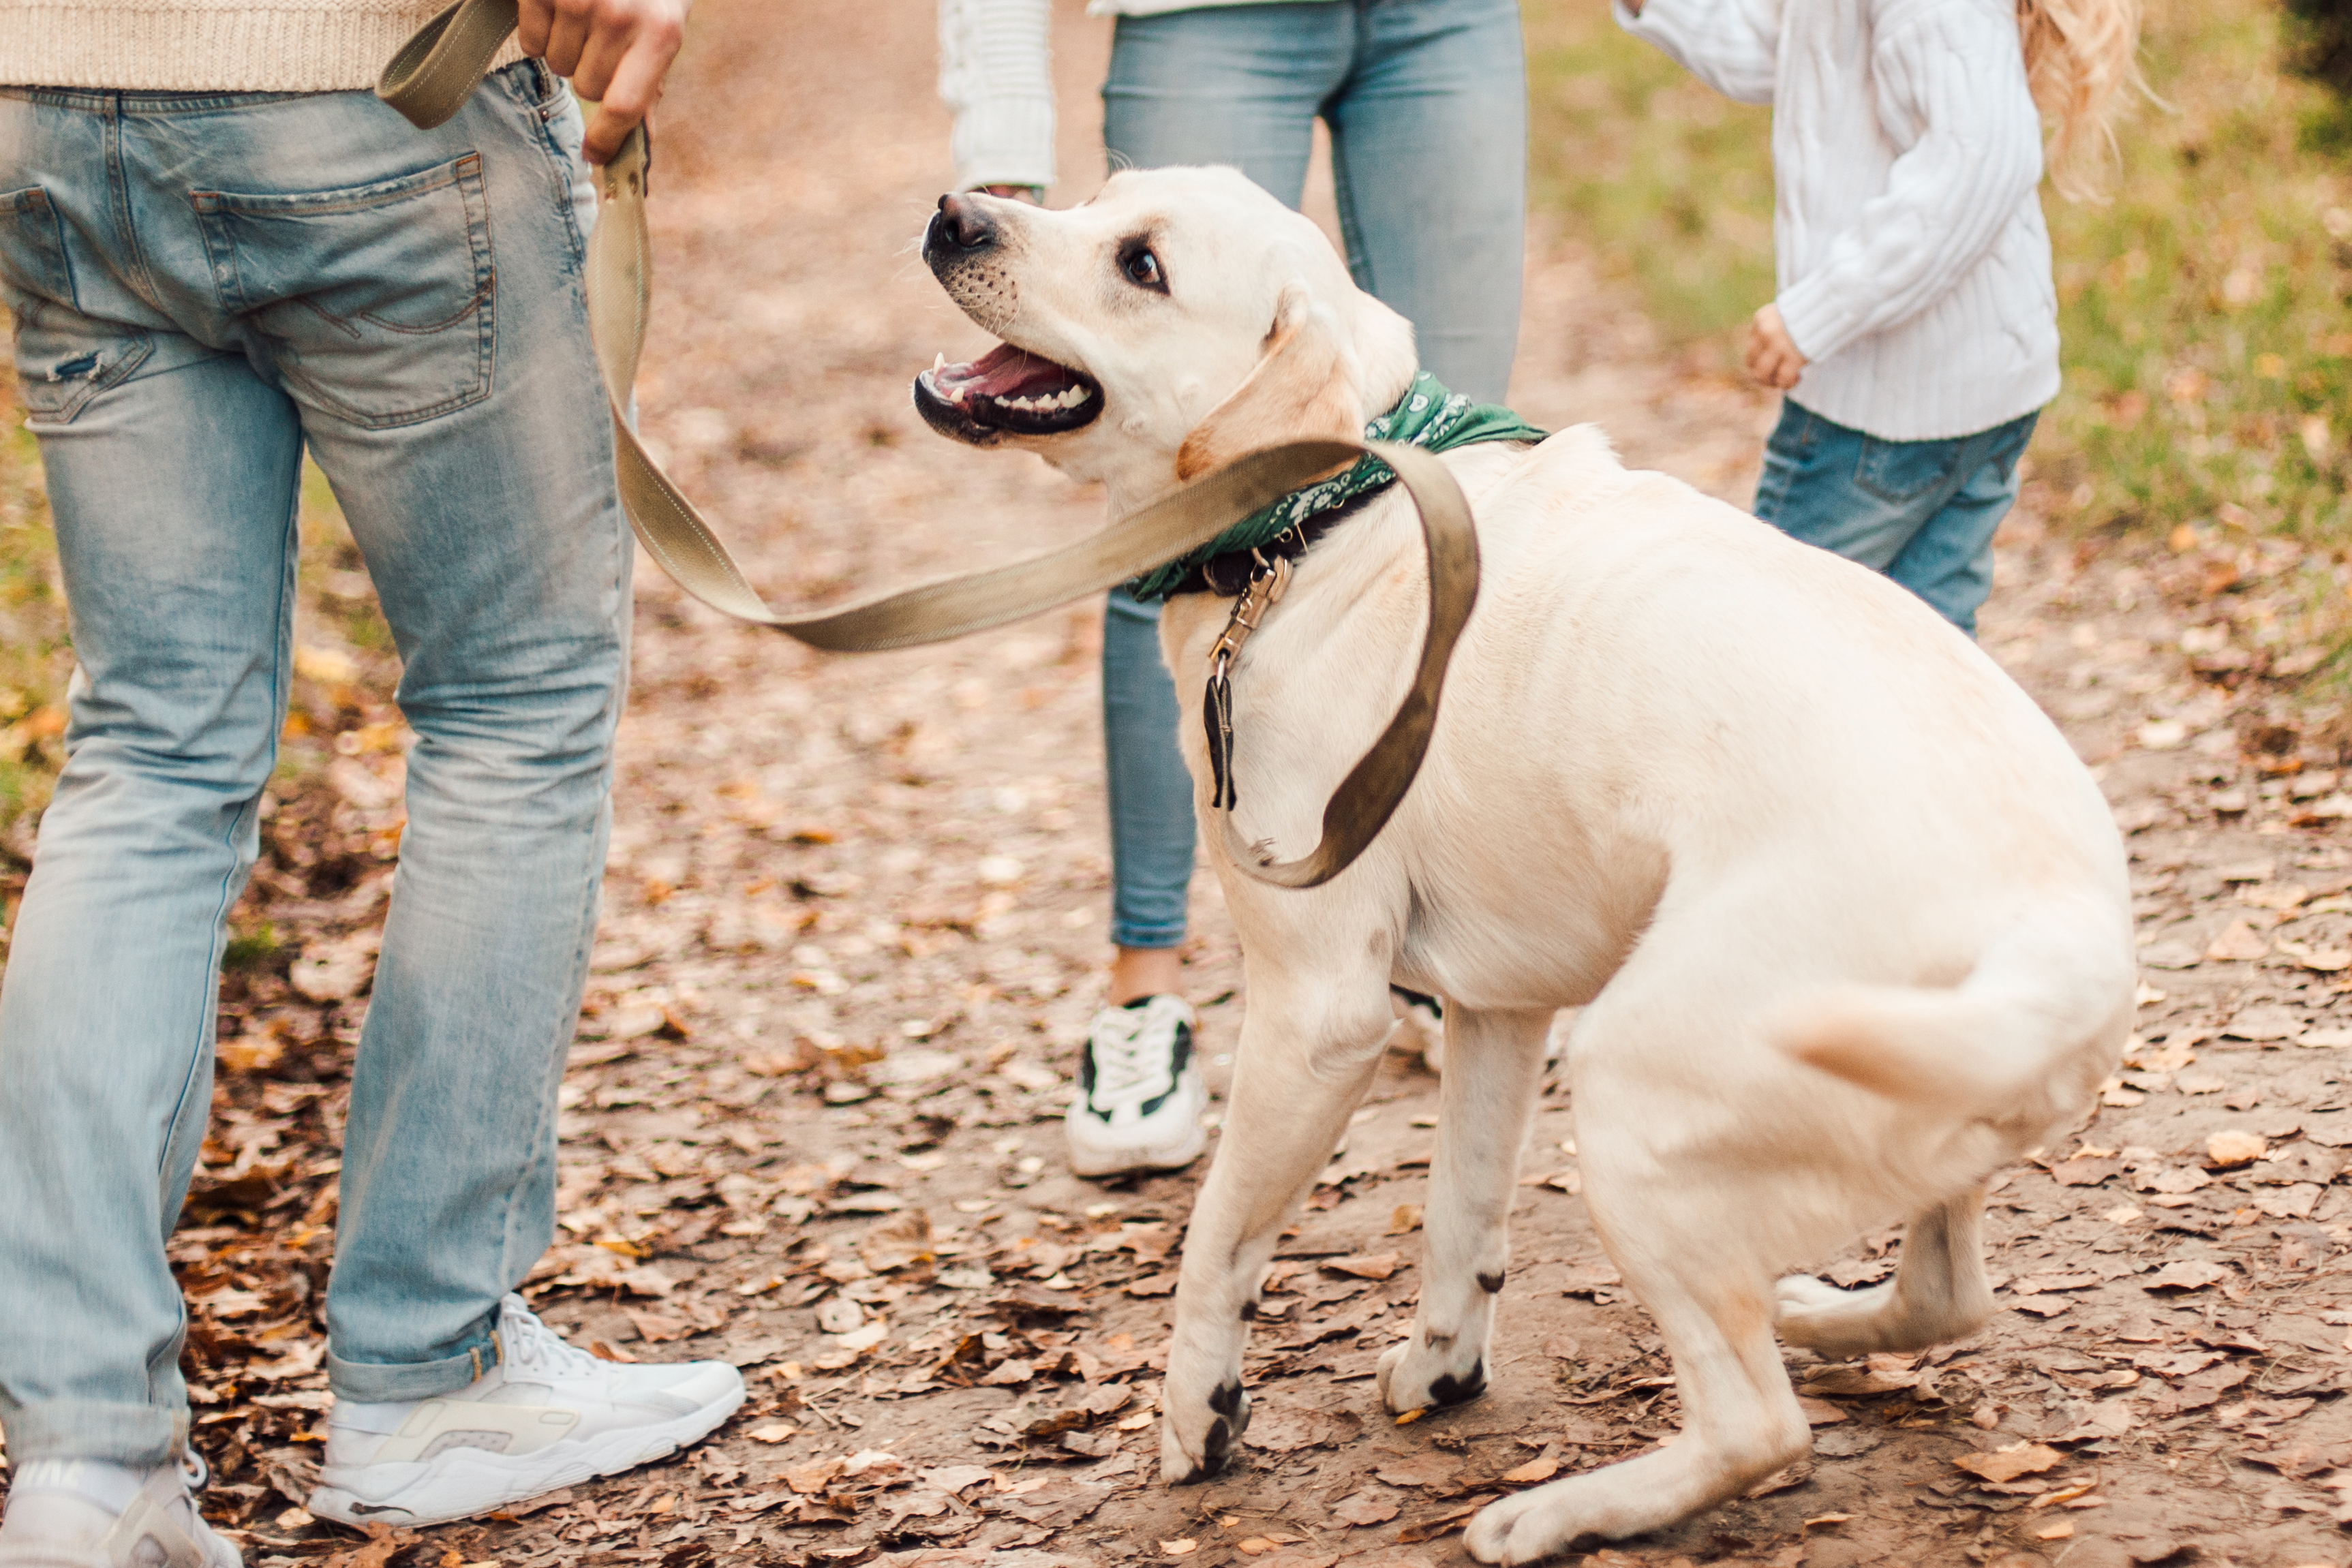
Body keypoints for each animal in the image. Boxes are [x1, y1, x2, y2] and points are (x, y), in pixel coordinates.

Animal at [908, 166, 2126, 1561]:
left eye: (1142, 266)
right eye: (1102, 193)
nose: (953, 213)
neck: (1329, 516)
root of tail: (2061, 932)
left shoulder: (1317, 1012)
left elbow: (1215, 1239)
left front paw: (1195, 1409)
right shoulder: (1495, 1008)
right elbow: (1461, 1211)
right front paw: (1442, 1371)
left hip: (1631, 1096)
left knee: (1758, 1428)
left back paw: (1551, 1514)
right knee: (1943, 1299)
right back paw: (1822, 1314)